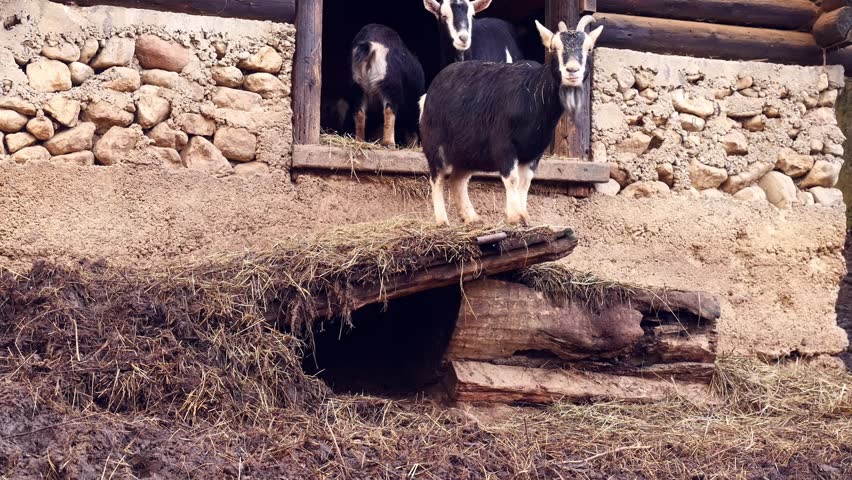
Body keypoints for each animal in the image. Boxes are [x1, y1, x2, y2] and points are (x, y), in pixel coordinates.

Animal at [419, 16, 603, 226]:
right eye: (553, 47)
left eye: (589, 48)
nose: (572, 70)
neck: (532, 96)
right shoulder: (504, 145)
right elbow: (512, 179)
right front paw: (515, 216)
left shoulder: (533, 152)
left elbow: (526, 182)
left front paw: (524, 215)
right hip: (435, 145)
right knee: (437, 178)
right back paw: (442, 220)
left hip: (467, 153)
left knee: (458, 179)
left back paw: (471, 217)